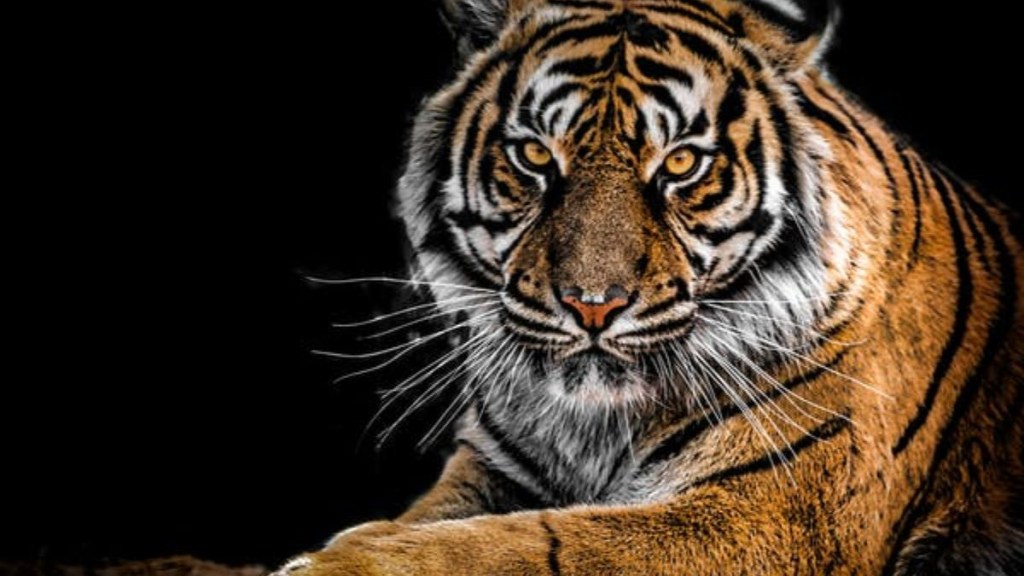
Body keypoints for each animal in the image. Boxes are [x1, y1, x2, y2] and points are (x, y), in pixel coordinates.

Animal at [276, 0, 1024, 573]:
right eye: (535, 155)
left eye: (683, 164)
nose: (592, 306)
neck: (594, 425)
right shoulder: (494, 467)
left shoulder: (772, 515)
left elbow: (532, 543)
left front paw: (331, 562)